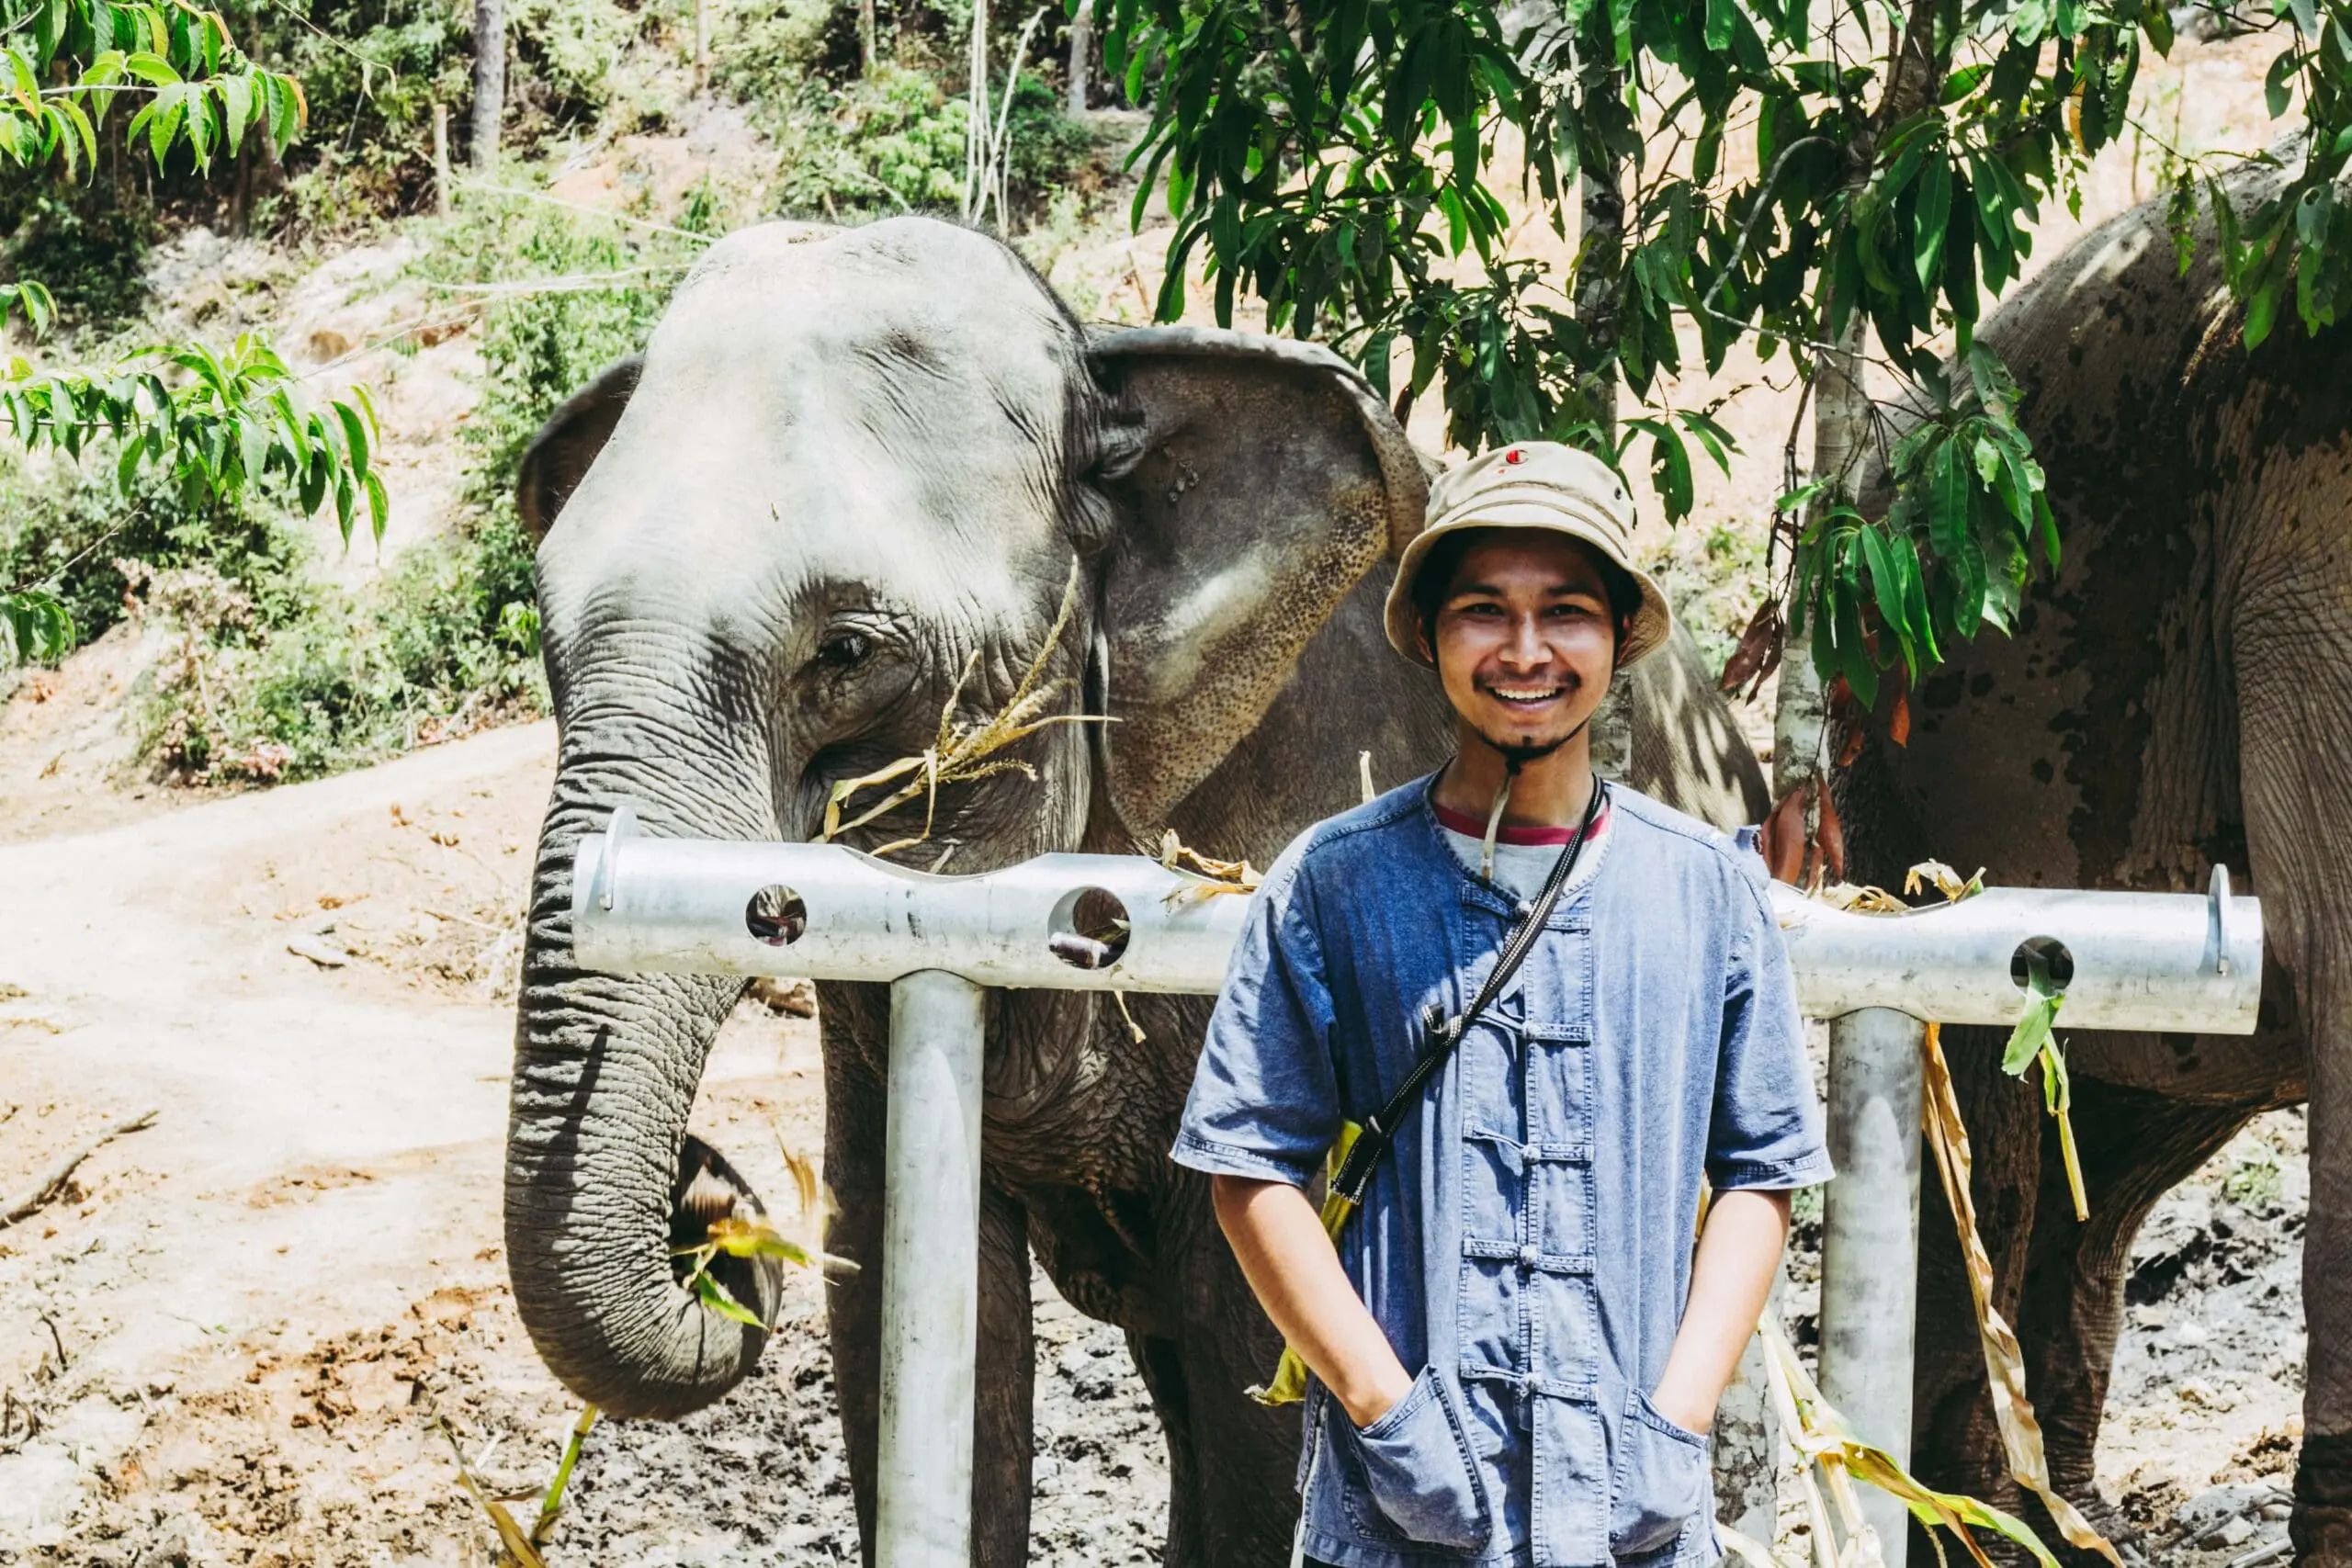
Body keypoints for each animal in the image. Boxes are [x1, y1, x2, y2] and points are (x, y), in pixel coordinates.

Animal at [501, 214, 1772, 1566]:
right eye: (547, 637)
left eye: (845, 652)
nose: (703, 1199)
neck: (1103, 365)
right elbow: (907, 1305)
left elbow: (1263, 1330)